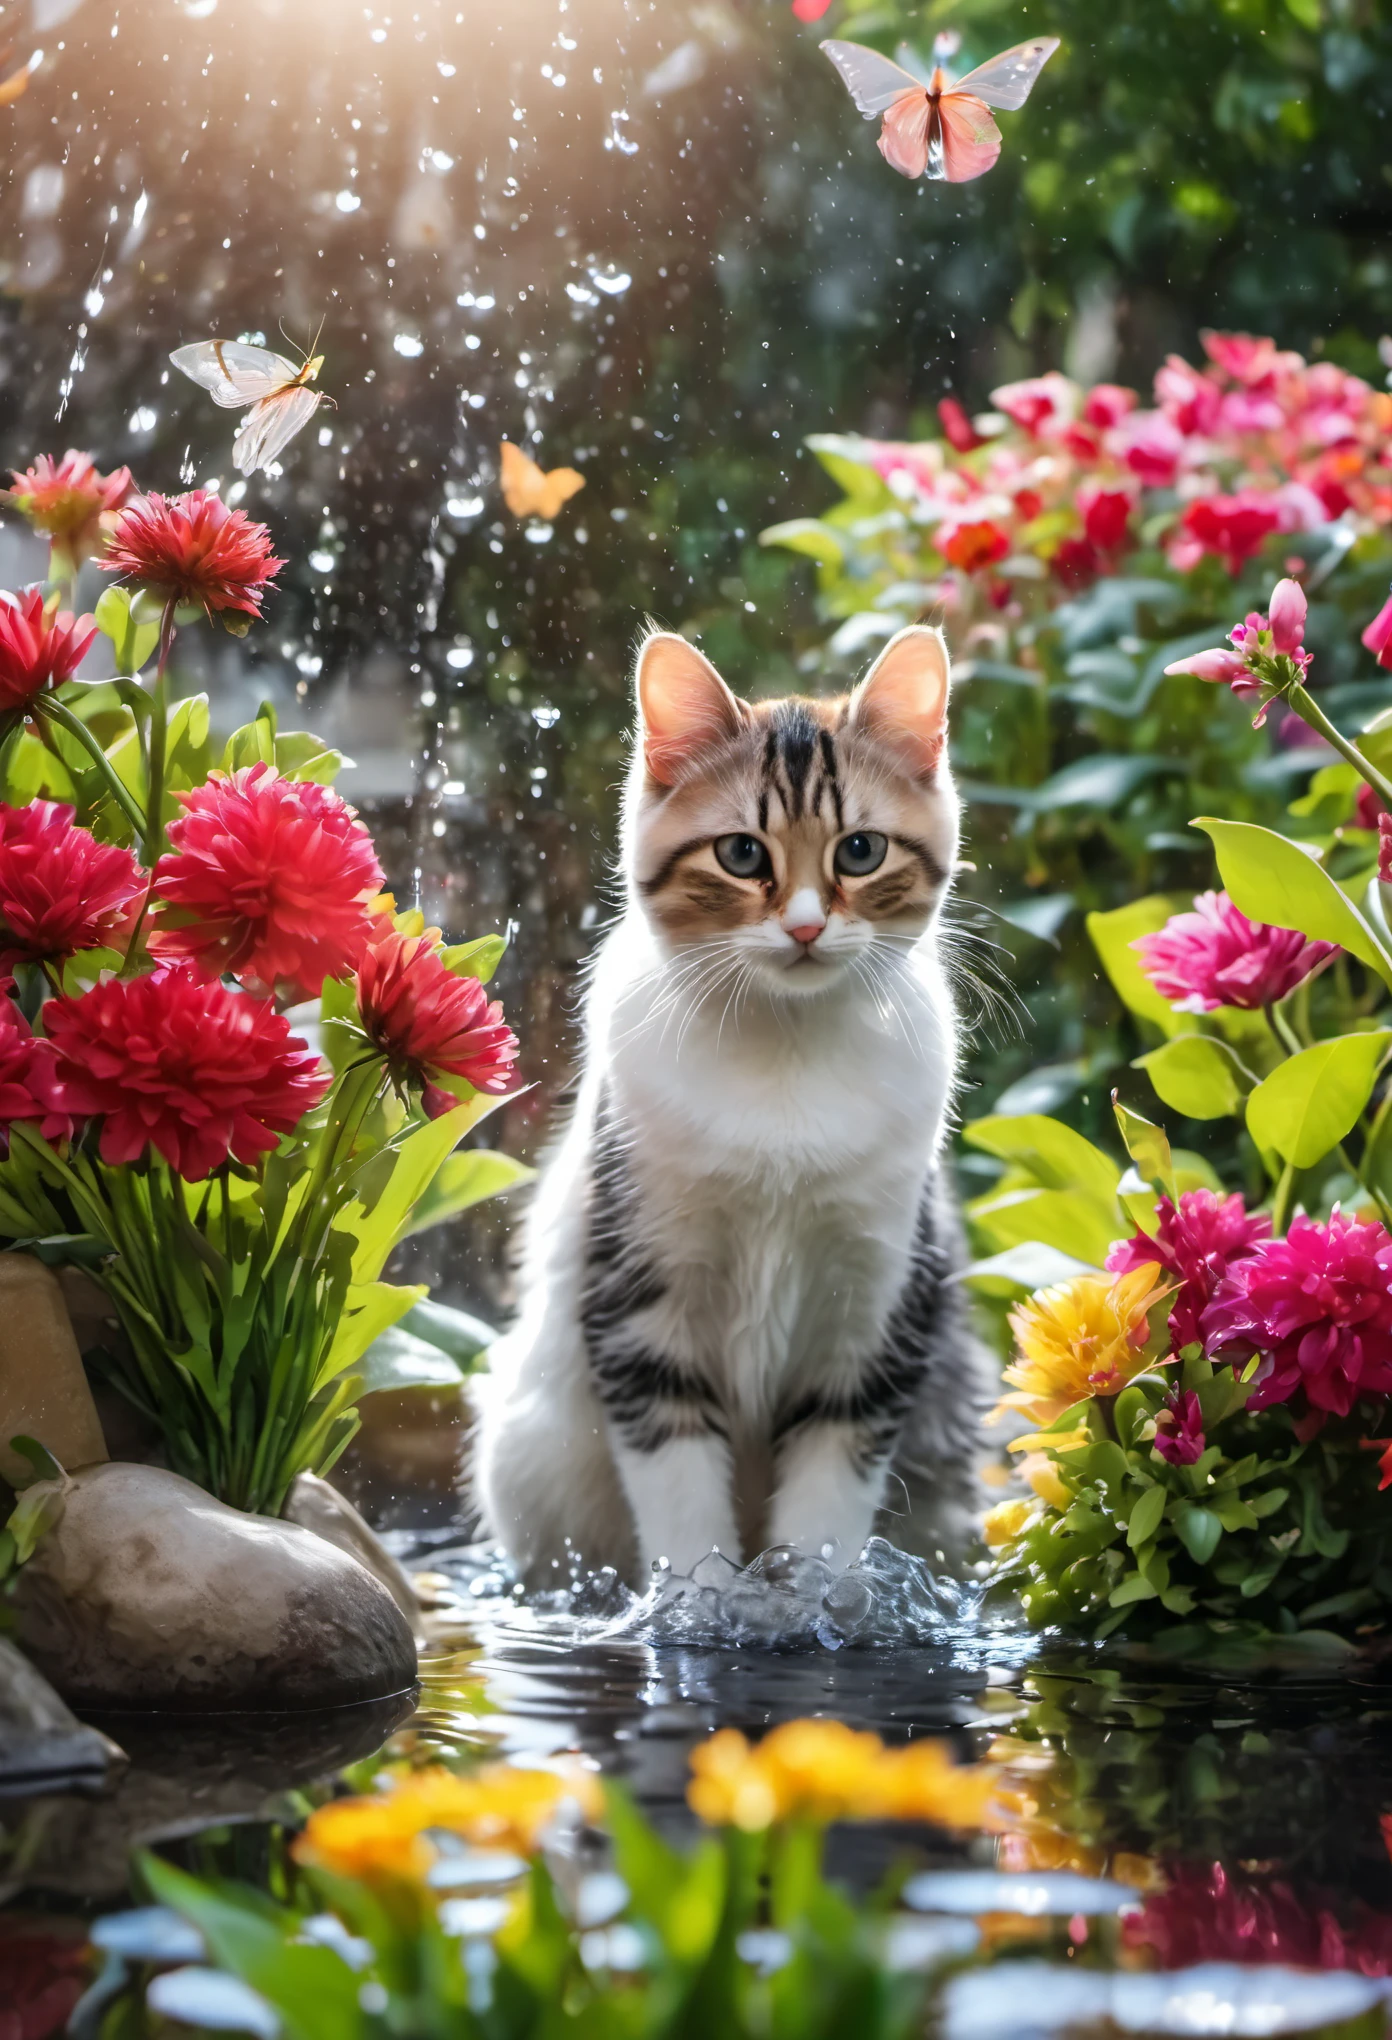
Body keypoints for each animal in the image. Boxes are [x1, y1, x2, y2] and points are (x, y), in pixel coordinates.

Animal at [477, 628, 987, 1583]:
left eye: (860, 852)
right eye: (743, 855)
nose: (805, 927)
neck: (784, 1057)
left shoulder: (872, 1319)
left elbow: (826, 1514)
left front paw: (811, 1599)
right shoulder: (641, 1305)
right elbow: (684, 1511)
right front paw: (704, 1602)